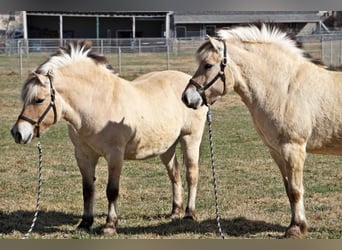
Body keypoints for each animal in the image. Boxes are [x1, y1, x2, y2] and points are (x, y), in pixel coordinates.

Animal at [10, 40, 207, 234]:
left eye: (39, 100)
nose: (17, 132)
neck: (97, 104)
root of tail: (192, 89)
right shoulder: (83, 156)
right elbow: (88, 190)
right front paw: (85, 223)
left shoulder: (115, 155)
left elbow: (112, 190)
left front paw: (110, 224)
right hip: (166, 147)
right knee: (174, 174)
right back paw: (175, 211)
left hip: (191, 139)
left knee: (191, 174)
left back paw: (189, 213)